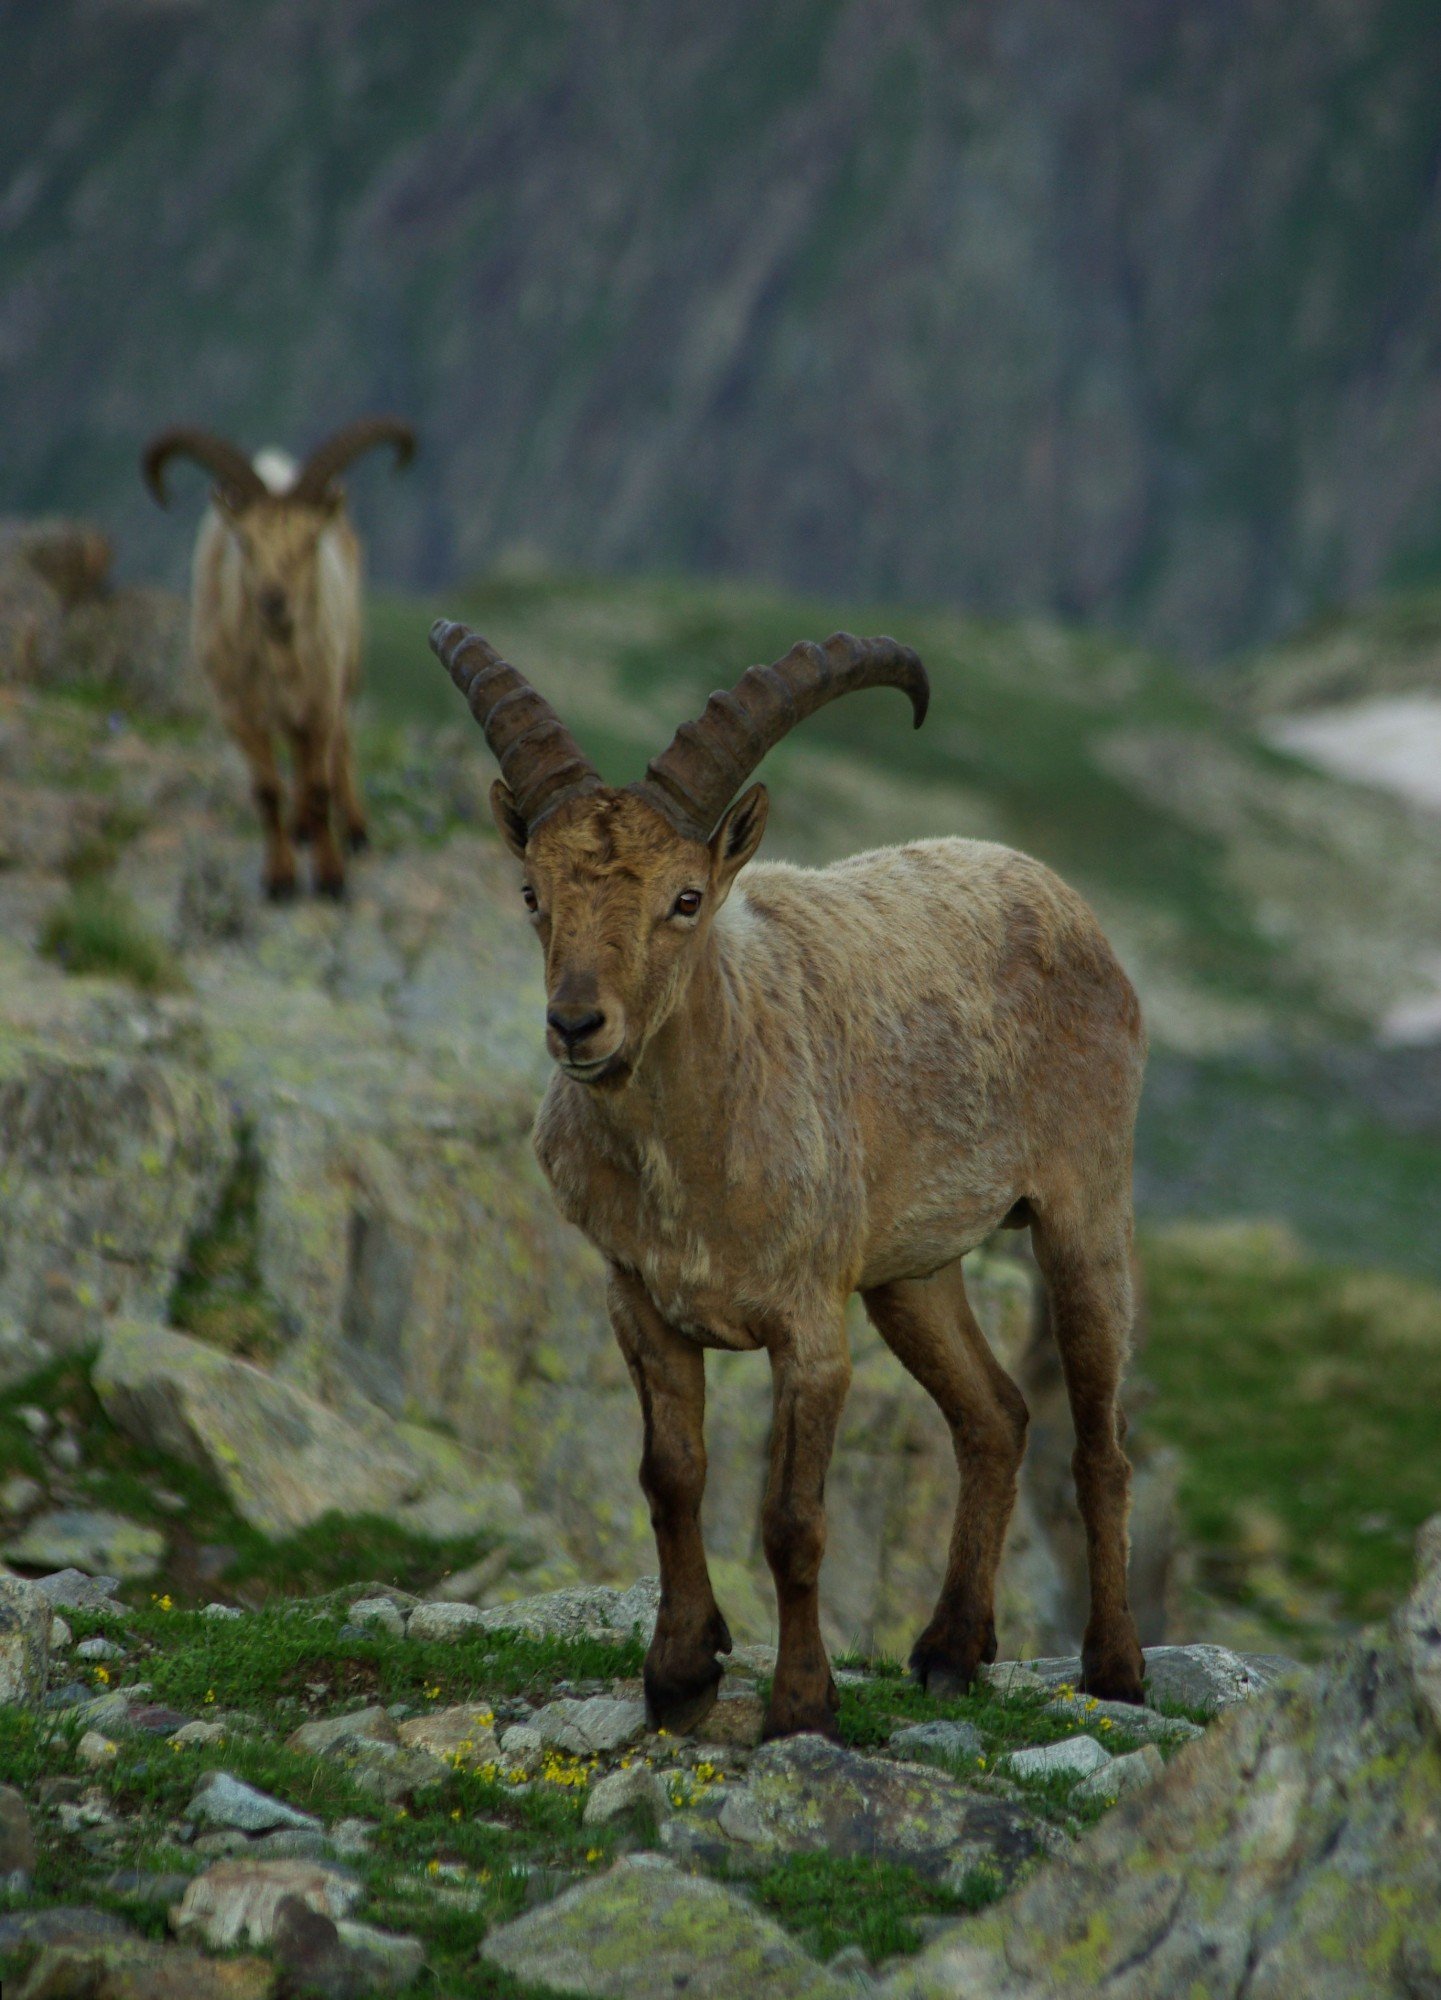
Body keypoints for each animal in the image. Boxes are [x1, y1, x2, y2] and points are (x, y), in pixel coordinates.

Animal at [143, 422, 414, 900]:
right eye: (245, 541)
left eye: (309, 540)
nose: (274, 601)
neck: (279, 662)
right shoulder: (238, 713)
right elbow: (267, 791)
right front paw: (280, 879)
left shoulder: (321, 701)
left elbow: (320, 785)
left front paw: (331, 877)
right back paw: (299, 826)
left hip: (348, 661)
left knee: (340, 744)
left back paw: (354, 830)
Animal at [428, 616, 1144, 1744]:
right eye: (532, 892)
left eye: (684, 898)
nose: (578, 1025)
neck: (694, 1162)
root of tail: (1057, 893)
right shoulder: (641, 1302)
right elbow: (670, 1480)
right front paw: (679, 1671)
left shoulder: (808, 1327)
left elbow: (792, 1519)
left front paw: (802, 1703)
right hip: (909, 1273)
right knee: (993, 1415)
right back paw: (950, 1649)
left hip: (1084, 1208)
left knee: (1098, 1442)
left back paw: (1113, 1670)